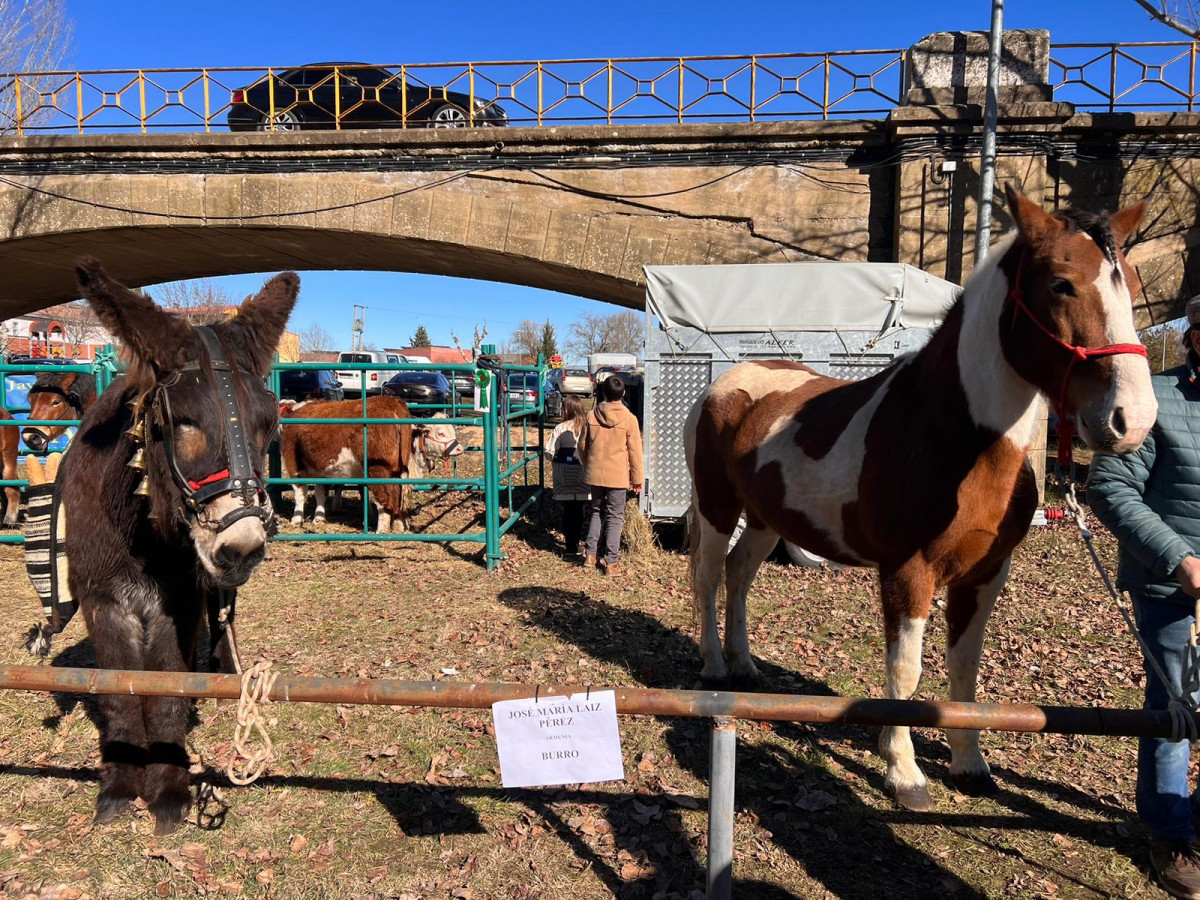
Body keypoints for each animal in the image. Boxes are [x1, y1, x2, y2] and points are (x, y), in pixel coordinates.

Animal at [62, 260, 296, 840]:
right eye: (181, 422)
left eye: (269, 425)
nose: (242, 548)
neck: (140, 533)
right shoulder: (102, 600)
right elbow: (120, 693)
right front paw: (120, 788)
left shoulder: (181, 601)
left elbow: (167, 691)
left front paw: (168, 792)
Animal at [280, 398, 463, 532]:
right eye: (440, 433)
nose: (460, 448)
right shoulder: (298, 464)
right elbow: (308, 492)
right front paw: (310, 518)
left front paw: (300, 518)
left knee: (384, 498)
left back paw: (381, 529)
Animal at [691, 187, 1156, 816]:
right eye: (1062, 283)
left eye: (1130, 283)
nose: (1132, 420)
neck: (950, 432)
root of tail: (730, 380)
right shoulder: (908, 573)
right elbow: (906, 672)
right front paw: (904, 773)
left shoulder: (984, 574)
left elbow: (963, 668)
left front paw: (969, 764)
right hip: (718, 509)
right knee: (709, 576)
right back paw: (716, 667)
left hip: (765, 520)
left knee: (739, 577)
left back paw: (744, 666)